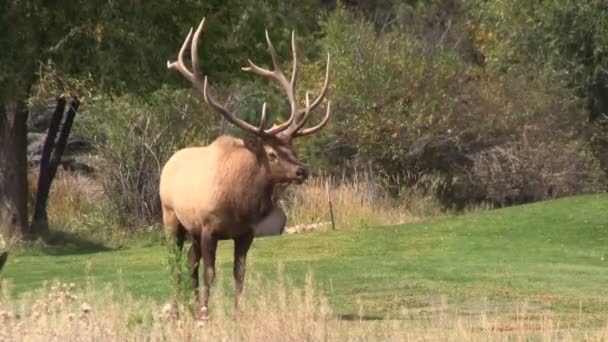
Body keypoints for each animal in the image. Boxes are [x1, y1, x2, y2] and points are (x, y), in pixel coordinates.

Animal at [162, 17, 330, 316]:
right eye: (272, 153)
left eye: (293, 149)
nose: (302, 170)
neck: (239, 203)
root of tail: (168, 164)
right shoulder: (208, 227)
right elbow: (211, 273)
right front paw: (206, 311)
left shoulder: (245, 233)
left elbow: (239, 273)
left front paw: (238, 312)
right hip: (170, 216)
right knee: (176, 262)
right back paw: (181, 307)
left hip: (191, 227)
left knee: (190, 261)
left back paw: (190, 303)